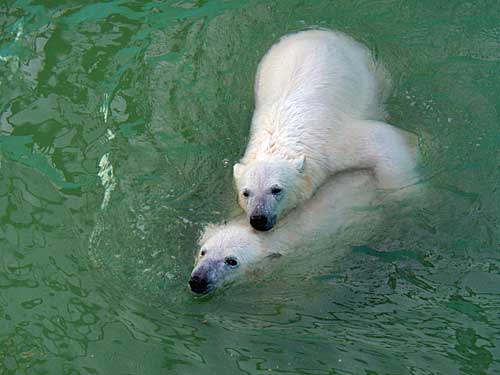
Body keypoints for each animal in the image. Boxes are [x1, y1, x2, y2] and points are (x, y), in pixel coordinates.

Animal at [234, 29, 418, 232]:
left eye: (276, 189)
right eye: (246, 193)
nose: (258, 219)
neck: (280, 133)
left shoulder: (331, 142)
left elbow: (382, 141)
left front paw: (404, 198)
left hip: (368, 70)